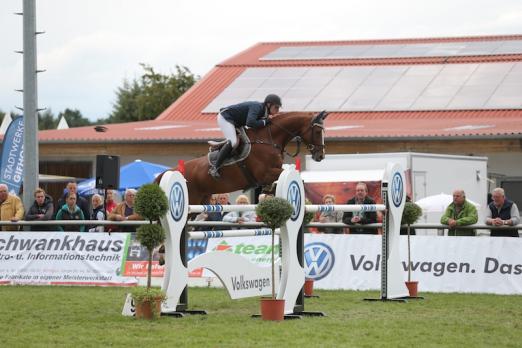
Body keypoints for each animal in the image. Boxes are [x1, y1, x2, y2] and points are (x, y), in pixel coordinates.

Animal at [156, 111, 328, 204]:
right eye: (318, 132)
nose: (320, 156)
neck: (268, 139)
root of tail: (168, 172)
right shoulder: (266, 173)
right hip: (192, 199)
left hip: (202, 200)